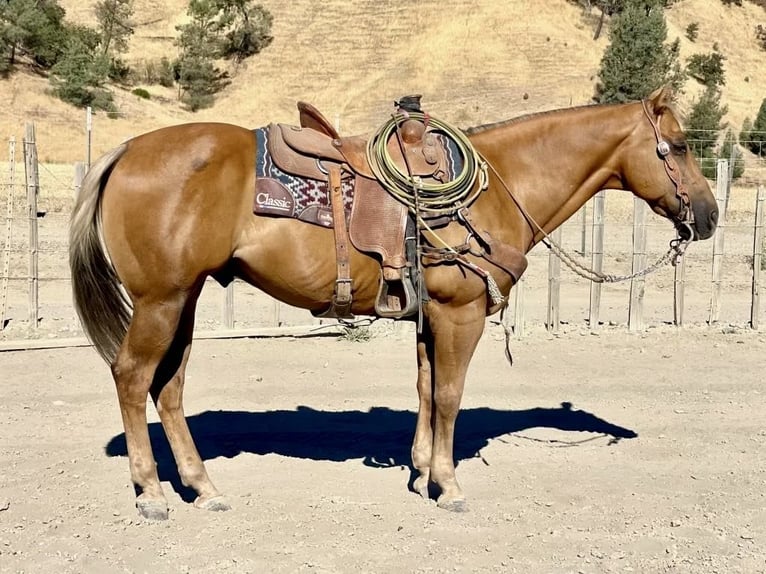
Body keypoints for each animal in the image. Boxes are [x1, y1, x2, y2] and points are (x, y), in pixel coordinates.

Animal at [69, 86, 718, 520]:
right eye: (681, 146)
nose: (709, 216)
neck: (501, 184)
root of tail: (125, 152)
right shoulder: (461, 315)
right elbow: (451, 396)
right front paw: (449, 486)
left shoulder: (432, 316)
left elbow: (427, 391)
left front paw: (422, 471)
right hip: (161, 299)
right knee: (133, 377)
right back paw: (153, 495)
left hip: (185, 297)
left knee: (168, 386)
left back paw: (202, 488)